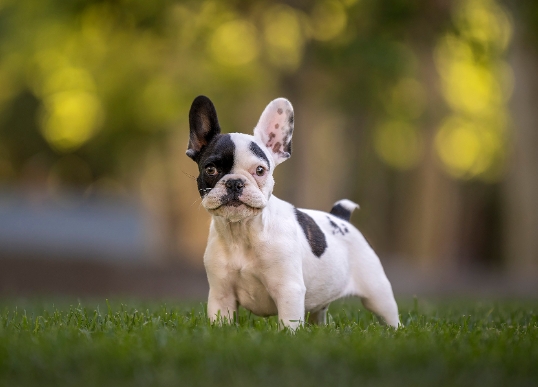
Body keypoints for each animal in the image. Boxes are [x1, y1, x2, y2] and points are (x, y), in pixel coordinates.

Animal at [184, 95, 398, 328]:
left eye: (260, 170)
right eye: (210, 169)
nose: (234, 183)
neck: (243, 232)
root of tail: (341, 217)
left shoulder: (288, 290)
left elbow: (288, 324)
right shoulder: (221, 295)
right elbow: (222, 321)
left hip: (377, 292)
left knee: (390, 316)